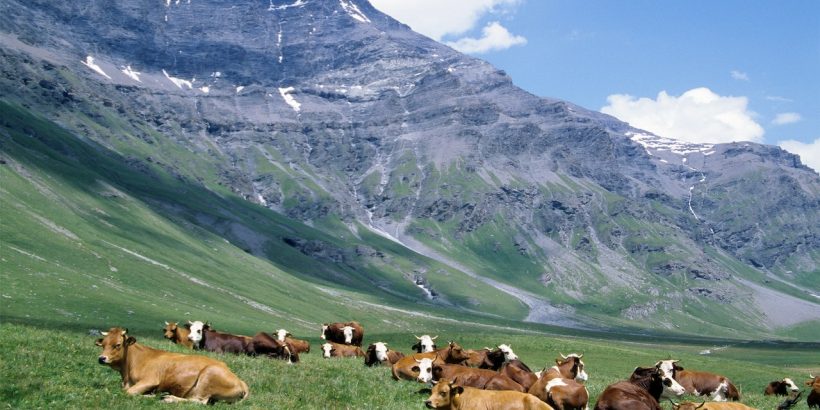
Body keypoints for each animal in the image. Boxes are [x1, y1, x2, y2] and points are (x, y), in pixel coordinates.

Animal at [93, 326, 247, 404]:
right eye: (103, 344)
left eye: (118, 345)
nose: (102, 358)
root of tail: (241, 381)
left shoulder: (150, 380)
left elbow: (127, 393)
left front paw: (151, 396)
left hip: (208, 376)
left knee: (199, 401)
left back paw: (169, 398)